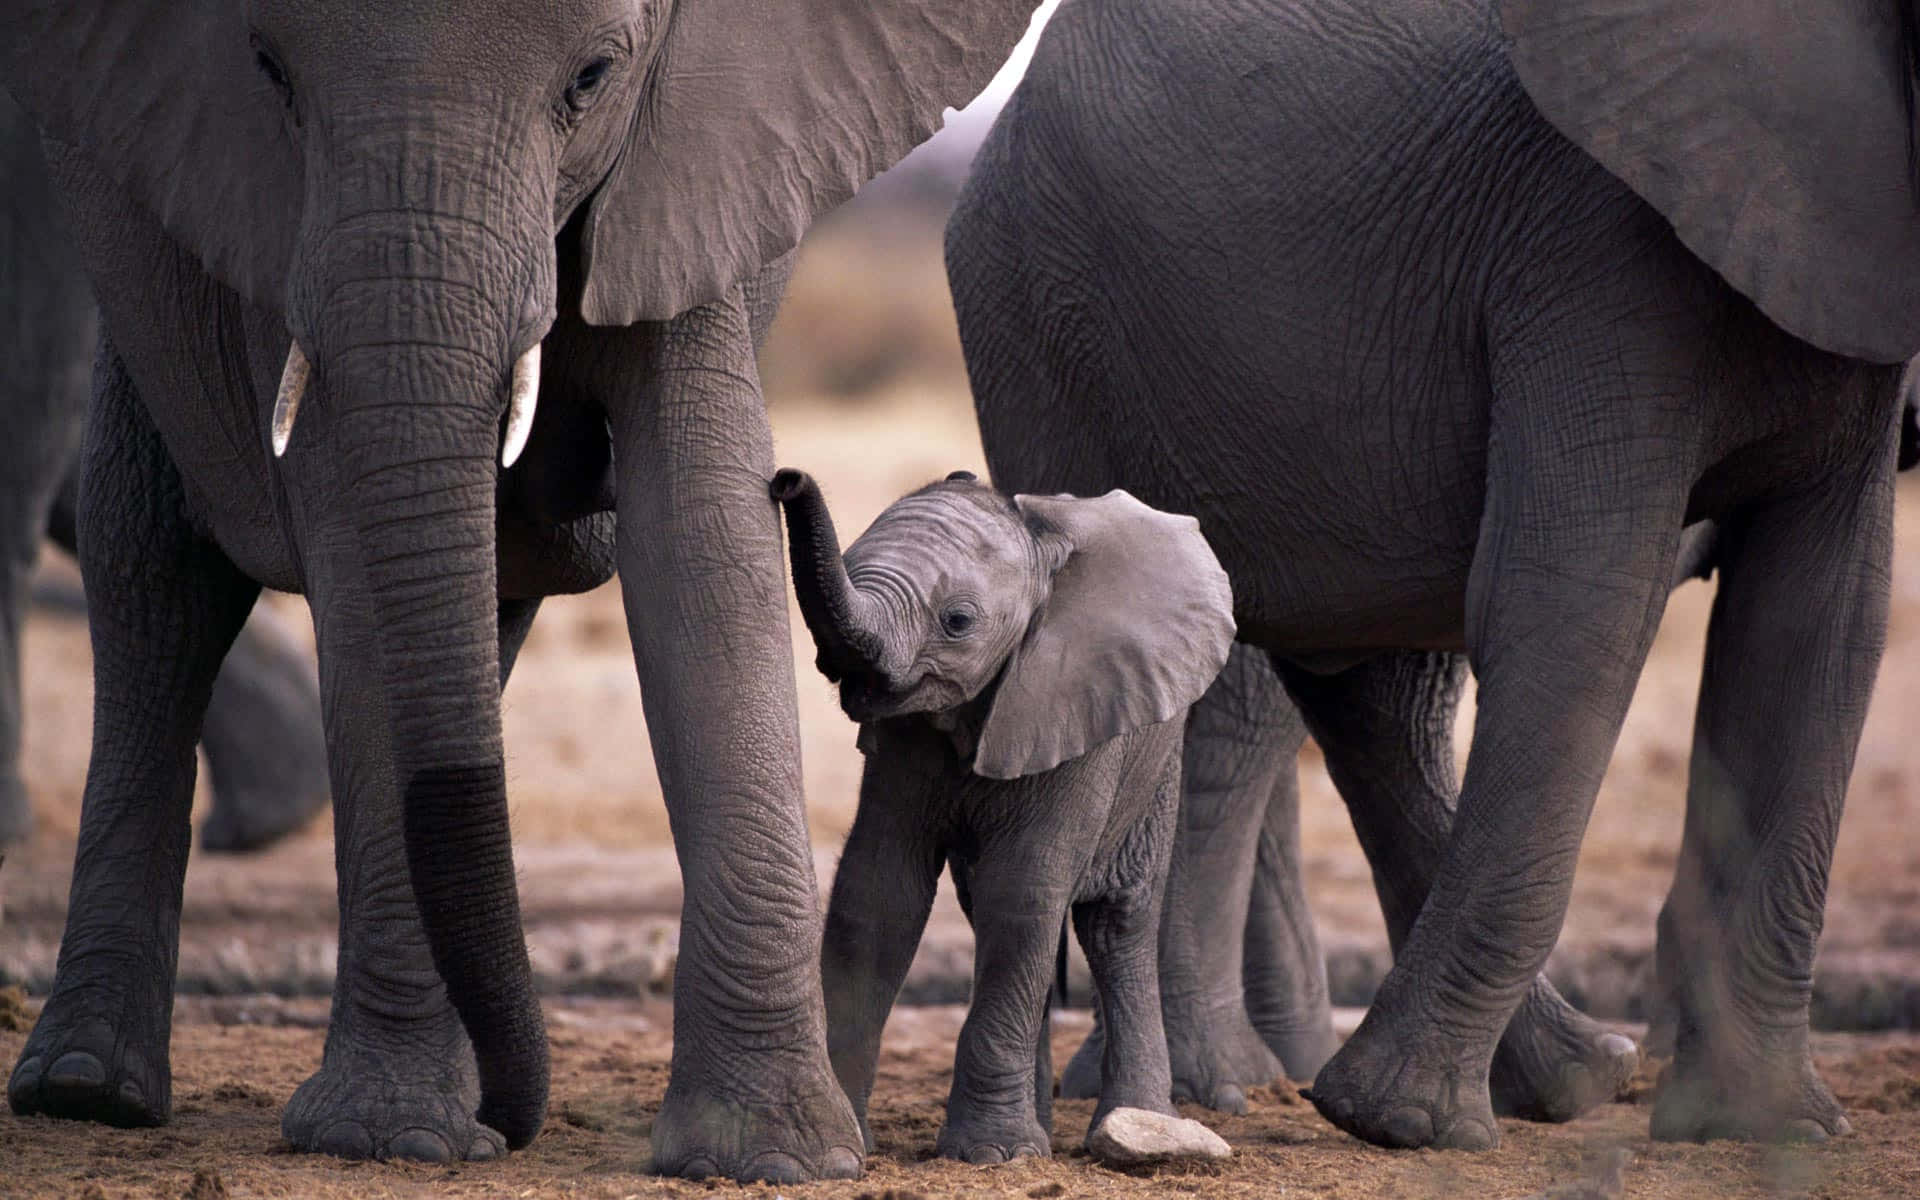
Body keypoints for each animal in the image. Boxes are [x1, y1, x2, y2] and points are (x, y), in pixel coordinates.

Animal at [770, 468, 1233, 1166]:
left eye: (958, 622)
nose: (785, 479)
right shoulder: (904, 739)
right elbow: (876, 896)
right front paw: (853, 1138)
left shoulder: (1073, 704)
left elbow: (1023, 893)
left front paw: (992, 1154)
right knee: (988, 909)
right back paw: (1040, 1128)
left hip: (1156, 762)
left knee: (1114, 924)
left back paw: (1134, 1123)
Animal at [947, 0, 1914, 1151]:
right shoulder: (1595, 248)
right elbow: (1573, 605)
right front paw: (1400, 1124)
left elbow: (1819, 626)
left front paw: (1762, 1130)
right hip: (1043, 317)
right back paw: (1243, 1098)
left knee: (1367, 689)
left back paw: (1571, 1079)